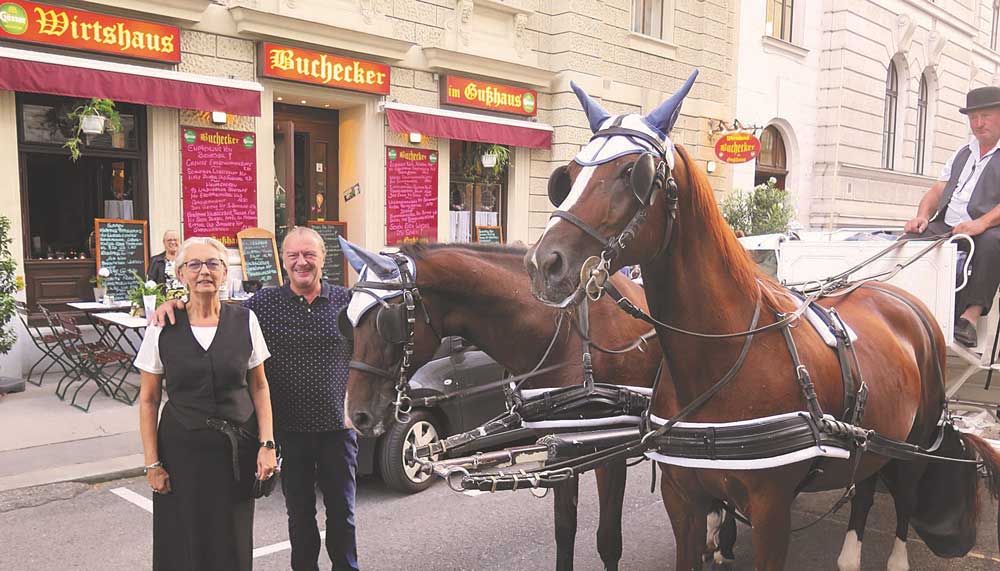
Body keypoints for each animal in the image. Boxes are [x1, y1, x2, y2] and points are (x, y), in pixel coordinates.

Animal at [344, 239, 664, 568]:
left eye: (386, 321)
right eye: (349, 320)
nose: (357, 415)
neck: (572, 338)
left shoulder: (611, 451)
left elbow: (608, 539)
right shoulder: (561, 448)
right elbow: (564, 528)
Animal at [524, 77, 1000, 571]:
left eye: (632, 173)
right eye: (567, 176)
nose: (543, 264)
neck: (722, 355)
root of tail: (904, 301)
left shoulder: (772, 510)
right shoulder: (683, 500)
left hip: (915, 444)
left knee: (904, 499)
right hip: (875, 435)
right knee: (866, 486)